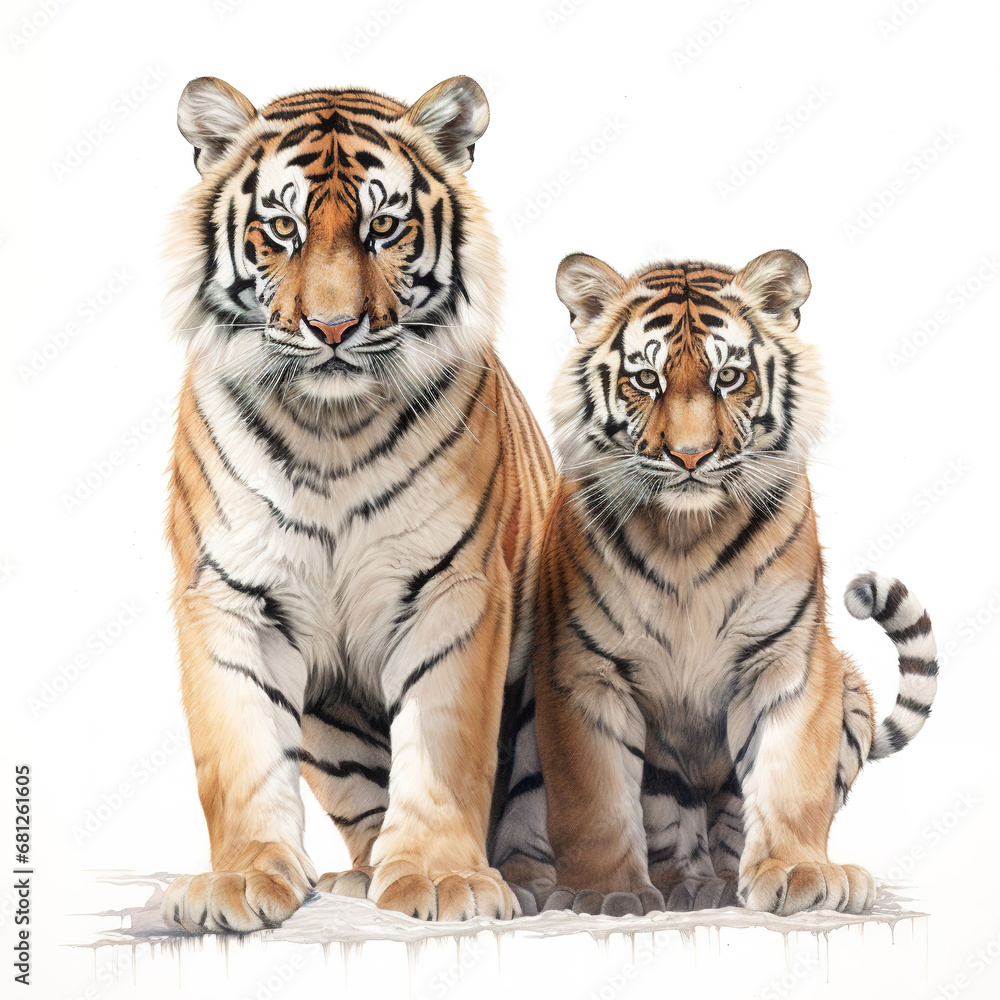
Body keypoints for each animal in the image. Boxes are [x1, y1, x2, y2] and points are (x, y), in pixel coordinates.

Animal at [160, 74, 554, 932]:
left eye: (384, 227)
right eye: (282, 227)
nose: (334, 327)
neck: (328, 430)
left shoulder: (456, 586)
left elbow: (445, 743)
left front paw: (443, 878)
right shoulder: (229, 592)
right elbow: (236, 751)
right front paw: (239, 880)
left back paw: (524, 878)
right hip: (329, 722)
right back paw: (358, 877)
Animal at [489, 249, 938, 917]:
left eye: (728, 377)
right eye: (646, 380)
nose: (691, 457)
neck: (686, 539)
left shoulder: (787, 659)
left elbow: (791, 776)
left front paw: (799, 874)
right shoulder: (583, 670)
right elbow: (594, 795)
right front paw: (606, 892)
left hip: (851, 690)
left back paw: (741, 882)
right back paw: (684, 886)